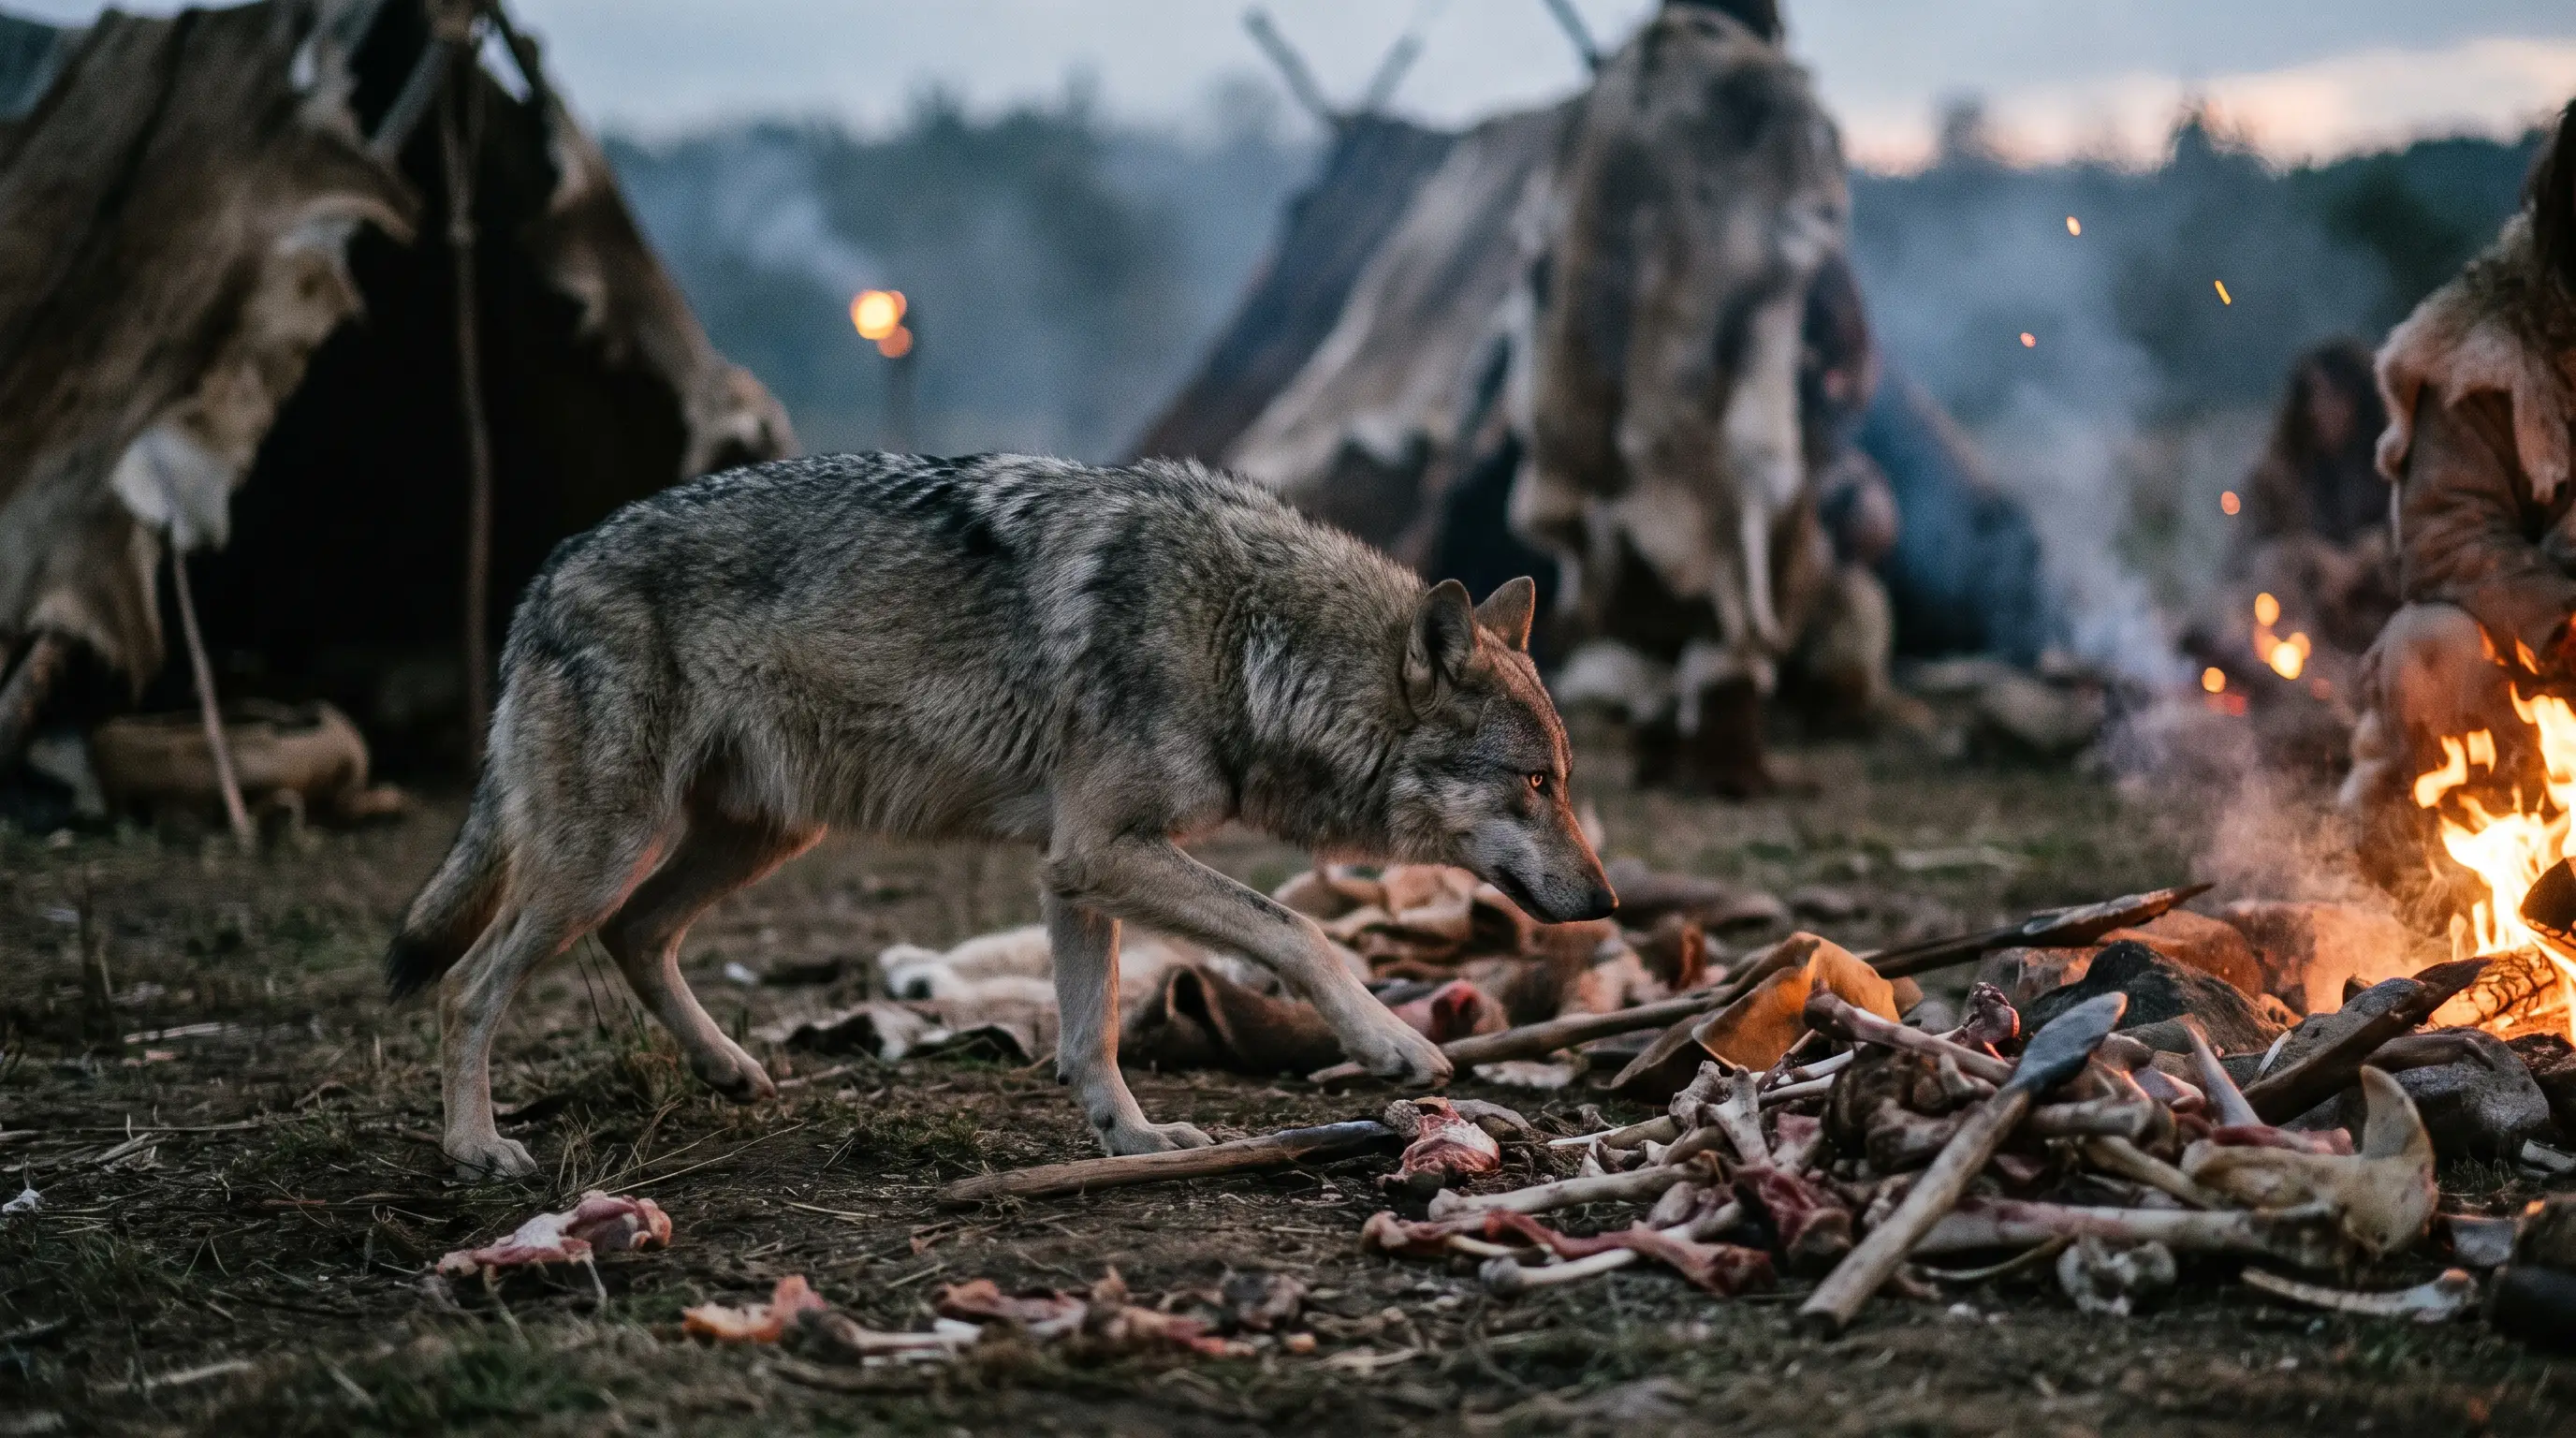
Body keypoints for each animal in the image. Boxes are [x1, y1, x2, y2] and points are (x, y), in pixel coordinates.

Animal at [385, 452, 1617, 1177]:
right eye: (1536, 784)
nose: (1605, 902)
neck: (1251, 638)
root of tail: (546, 573)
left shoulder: (1074, 871)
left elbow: (1092, 1031)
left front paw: (1133, 1139)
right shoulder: (1106, 850)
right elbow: (1301, 931)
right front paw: (1392, 1044)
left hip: (754, 836)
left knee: (638, 935)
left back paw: (730, 1072)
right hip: (605, 852)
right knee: (466, 987)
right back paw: (476, 1151)